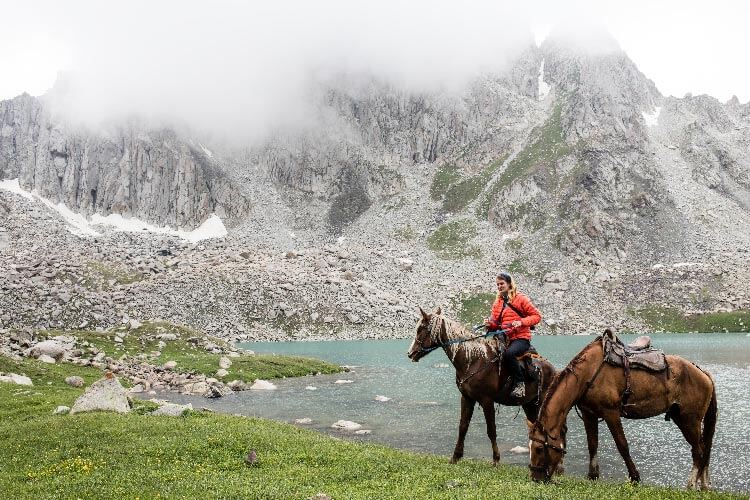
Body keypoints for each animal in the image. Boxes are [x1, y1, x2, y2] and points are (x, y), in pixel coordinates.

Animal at [408, 306, 560, 466]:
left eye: (421, 329)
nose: (410, 353)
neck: (473, 360)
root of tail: (553, 370)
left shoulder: (487, 400)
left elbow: (491, 430)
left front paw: (496, 459)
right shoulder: (467, 398)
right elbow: (463, 427)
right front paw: (455, 457)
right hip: (529, 405)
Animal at [528, 330, 716, 490]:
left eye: (538, 449)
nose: (535, 478)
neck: (588, 374)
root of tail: (703, 373)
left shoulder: (611, 413)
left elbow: (622, 445)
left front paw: (634, 477)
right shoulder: (589, 415)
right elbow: (592, 445)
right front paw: (592, 475)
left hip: (690, 420)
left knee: (699, 451)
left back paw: (691, 485)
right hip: (681, 418)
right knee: (703, 449)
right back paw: (704, 485)